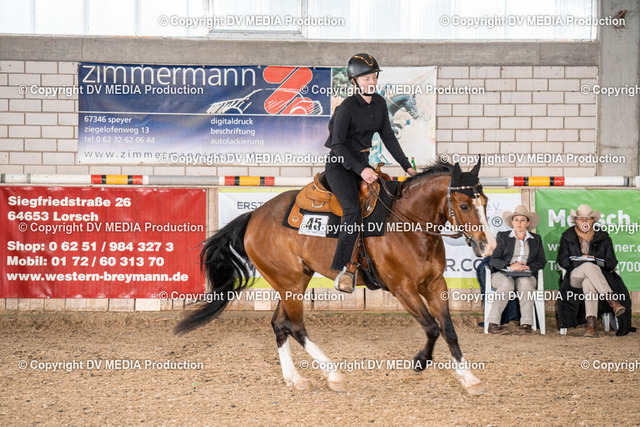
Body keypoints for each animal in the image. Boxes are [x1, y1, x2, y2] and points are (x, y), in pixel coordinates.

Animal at [175, 159, 496, 395]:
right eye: (464, 205)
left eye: (485, 202)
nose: (488, 246)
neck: (407, 223)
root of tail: (254, 216)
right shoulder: (402, 288)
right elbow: (431, 327)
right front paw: (419, 362)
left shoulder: (434, 285)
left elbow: (448, 329)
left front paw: (469, 379)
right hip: (290, 283)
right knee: (295, 327)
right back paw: (334, 375)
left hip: (294, 281)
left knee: (279, 324)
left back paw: (295, 379)